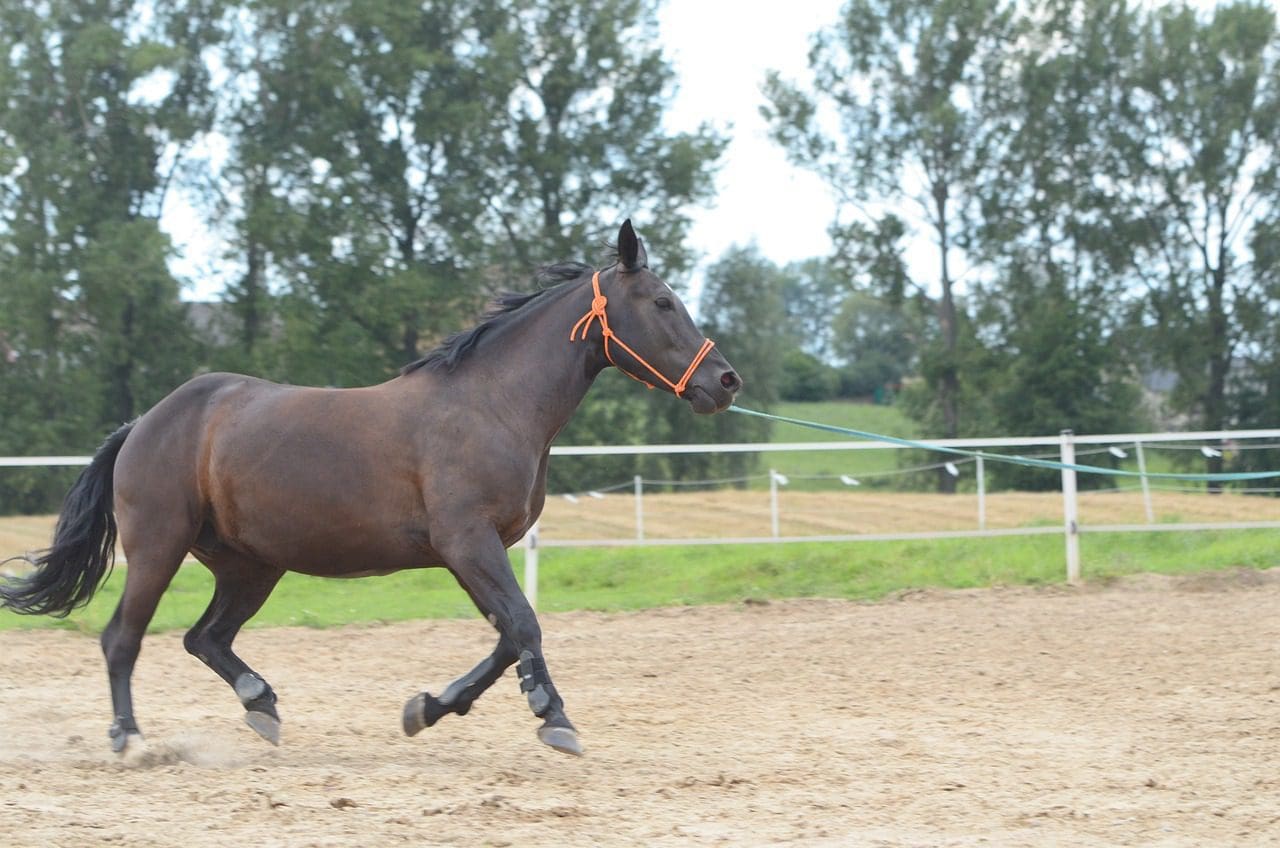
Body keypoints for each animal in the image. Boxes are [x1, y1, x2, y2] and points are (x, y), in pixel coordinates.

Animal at [0, 219, 742, 758]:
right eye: (663, 302)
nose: (725, 381)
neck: (492, 404)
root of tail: (145, 423)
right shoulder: (468, 541)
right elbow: (524, 624)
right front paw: (552, 716)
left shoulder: (471, 552)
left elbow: (508, 634)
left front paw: (428, 709)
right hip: (159, 547)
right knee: (122, 638)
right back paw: (130, 739)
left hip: (251, 565)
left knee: (204, 638)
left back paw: (261, 704)